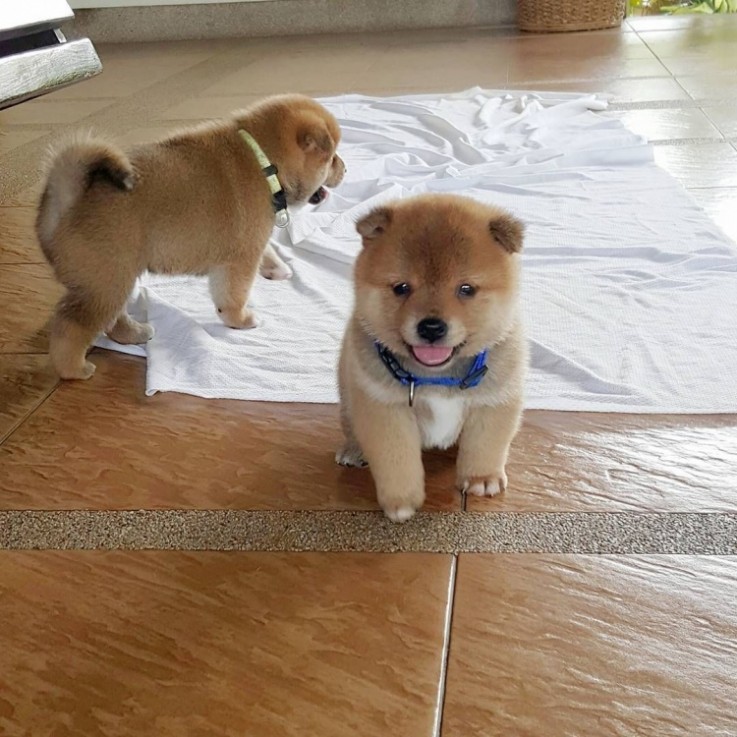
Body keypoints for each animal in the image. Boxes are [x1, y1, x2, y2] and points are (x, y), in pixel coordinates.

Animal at [35, 92, 344, 380]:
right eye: (331, 159)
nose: (345, 168)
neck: (264, 160)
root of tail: (65, 199)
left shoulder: (255, 240)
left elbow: (268, 251)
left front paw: (278, 269)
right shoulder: (240, 258)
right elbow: (234, 295)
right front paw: (240, 319)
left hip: (112, 281)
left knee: (112, 319)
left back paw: (135, 333)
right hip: (106, 281)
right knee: (70, 327)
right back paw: (74, 368)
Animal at [336, 193, 528, 520]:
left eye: (466, 289)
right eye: (401, 287)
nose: (431, 327)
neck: (439, 377)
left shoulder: (494, 401)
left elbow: (486, 445)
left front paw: (481, 479)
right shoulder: (386, 410)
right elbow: (396, 459)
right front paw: (400, 501)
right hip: (347, 393)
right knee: (350, 425)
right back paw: (354, 450)